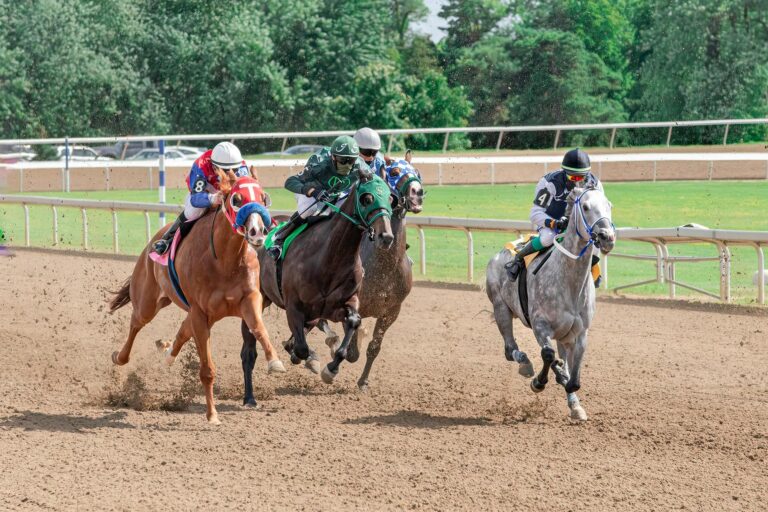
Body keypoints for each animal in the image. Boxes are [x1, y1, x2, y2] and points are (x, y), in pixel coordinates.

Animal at [109, 168, 284, 424]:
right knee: (136, 323)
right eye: (236, 199)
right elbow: (207, 370)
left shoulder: (250, 300)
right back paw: (120, 357)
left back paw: (167, 355)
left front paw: (275, 362)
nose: (258, 232)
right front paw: (212, 414)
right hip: (148, 301)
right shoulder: (200, 313)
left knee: (183, 330)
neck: (224, 260)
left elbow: (260, 329)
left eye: (263, 197)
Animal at [486, 186, 616, 422]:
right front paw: (538, 382)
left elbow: (573, 379)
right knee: (510, 350)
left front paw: (574, 402)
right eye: (585, 206)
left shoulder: (579, 333)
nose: (607, 237)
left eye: (609, 205)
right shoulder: (540, 325)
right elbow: (548, 355)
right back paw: (525, 364)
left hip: (562, 335)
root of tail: (501, 252)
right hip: (501, 307)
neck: (569, 282)